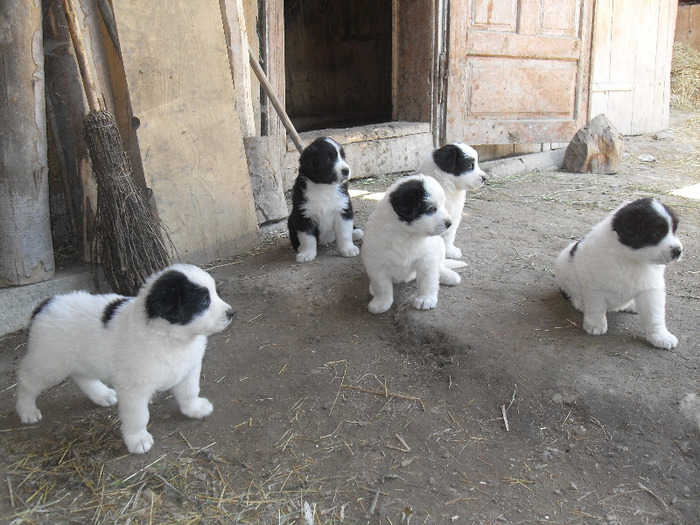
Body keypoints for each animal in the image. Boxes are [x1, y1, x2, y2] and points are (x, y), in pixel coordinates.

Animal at [15, 264, 235, 452]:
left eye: (215, 293)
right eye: (204, 301)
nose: (231, 313)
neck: (171, 337)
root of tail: (44, 305)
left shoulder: (188, 369)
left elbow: (189, 392)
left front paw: (194, 408)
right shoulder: (133, 388)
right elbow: (138, 415)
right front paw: (137, 439)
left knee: (82, 377)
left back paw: (102, 394)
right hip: (48, 363)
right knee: (26, 381)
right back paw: (27, 410)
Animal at [360, 174, 464, 314]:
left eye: (443, 205)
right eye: (431, 209)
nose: (449, 223)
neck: (407, 235)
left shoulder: (427, 259)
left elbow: (428, 280)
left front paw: (426, 299)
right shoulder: (376, 264)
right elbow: (382, 287)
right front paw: (381, 303)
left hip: (440, 246)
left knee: (440, 267)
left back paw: (449, 276)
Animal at [556, 196, 680, 348]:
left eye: (674, 230)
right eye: (656, 233)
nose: (678, 251)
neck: (632, 259)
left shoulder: (651, 288)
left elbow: (654, 315)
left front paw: (660, 336)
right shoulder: (594, 286)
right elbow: (596, 307)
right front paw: (595, 324)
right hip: (564, 270)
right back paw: (580, 303)